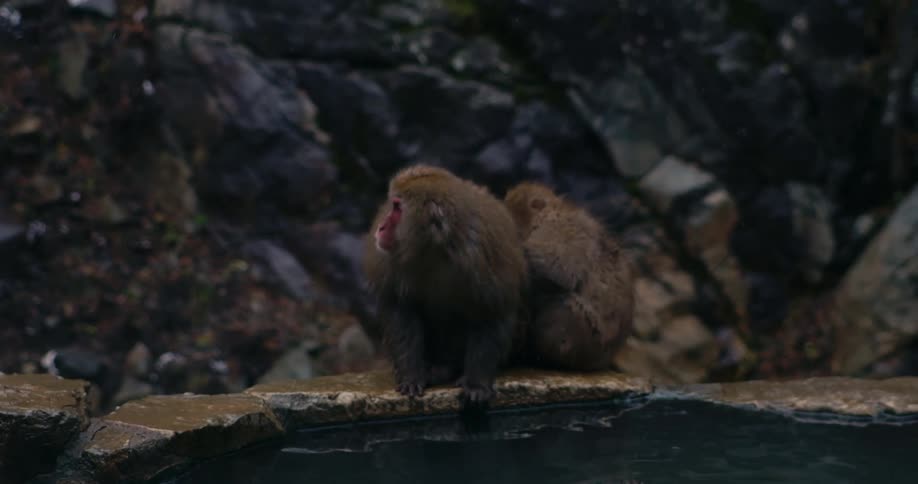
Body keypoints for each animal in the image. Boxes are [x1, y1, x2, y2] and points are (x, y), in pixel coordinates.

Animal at [362, 164, 527, 405]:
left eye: (397, 208)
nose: (381, 226)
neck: (435, 248)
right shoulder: (391, 262)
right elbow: (400, 310)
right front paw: (411, 374)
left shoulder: (485, 253)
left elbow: (492, 312)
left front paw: (476, 383)